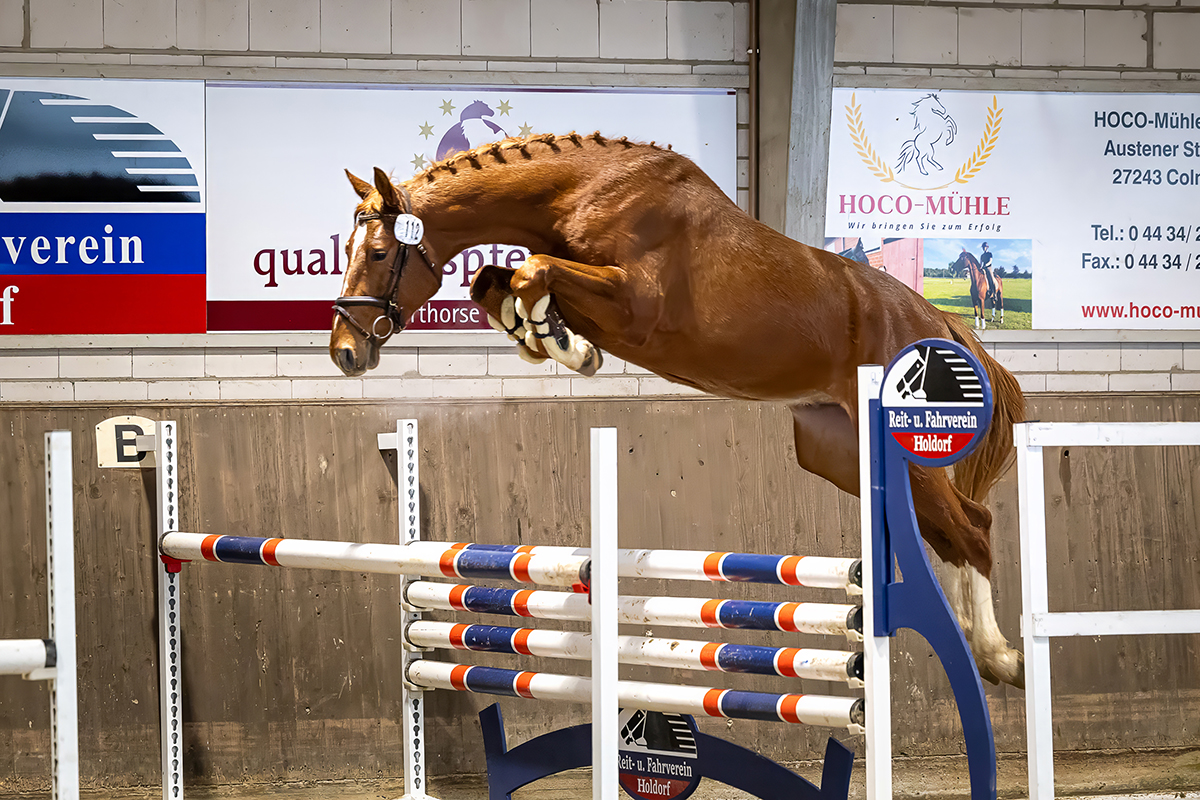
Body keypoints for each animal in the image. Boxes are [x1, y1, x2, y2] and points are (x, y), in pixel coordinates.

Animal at [333, 131, 1027, 690]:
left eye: (377, 254)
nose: (345, 351)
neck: (583, 189)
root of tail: (934, 320)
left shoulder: (634, 305)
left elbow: (533, 269)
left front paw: (561, 341)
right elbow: (496, 279)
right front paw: (547, 336)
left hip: (901, 440)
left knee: (973, 527)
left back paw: (999, 657)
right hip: (841, 453)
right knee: (947, 533)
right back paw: (975, 642)